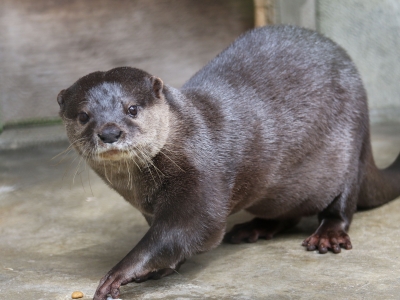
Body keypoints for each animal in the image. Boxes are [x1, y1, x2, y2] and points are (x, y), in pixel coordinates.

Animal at [56, 25, 400, 300]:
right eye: (84, 115)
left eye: (132, 109)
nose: (109, 131)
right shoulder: (149, 208)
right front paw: (159, 269)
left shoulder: (201, 172)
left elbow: (189, 229)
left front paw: (123, 272)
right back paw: (254, 228)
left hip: (349, 147)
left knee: (342, 203)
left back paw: (328, 234)